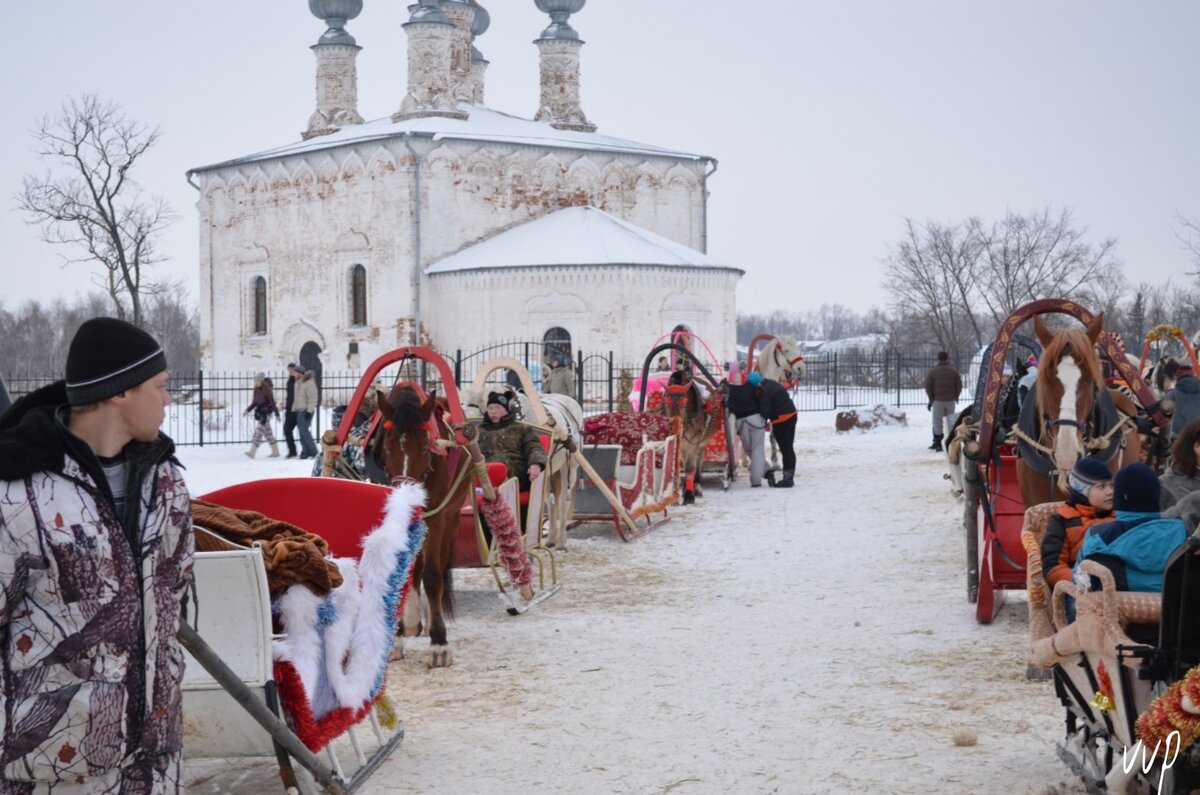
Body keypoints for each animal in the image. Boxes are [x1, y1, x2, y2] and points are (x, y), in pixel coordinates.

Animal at [374, 384, 472, 667]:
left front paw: (439, 643)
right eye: (386, 447)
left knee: (436, 564)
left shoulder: (435, 519)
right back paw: (410, 620)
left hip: (451, 518)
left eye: (426, 448)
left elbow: (432, 576)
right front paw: (395, 639)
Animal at [657, 372, 720, 506]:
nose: (674, 425)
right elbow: (676, 465)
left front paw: (689, 495)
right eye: (666, 402)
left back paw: (696, 486)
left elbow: (690, 467)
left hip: (703, 442)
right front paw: (675, 496)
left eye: (684, 403)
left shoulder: (693, 443)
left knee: (698, 460)